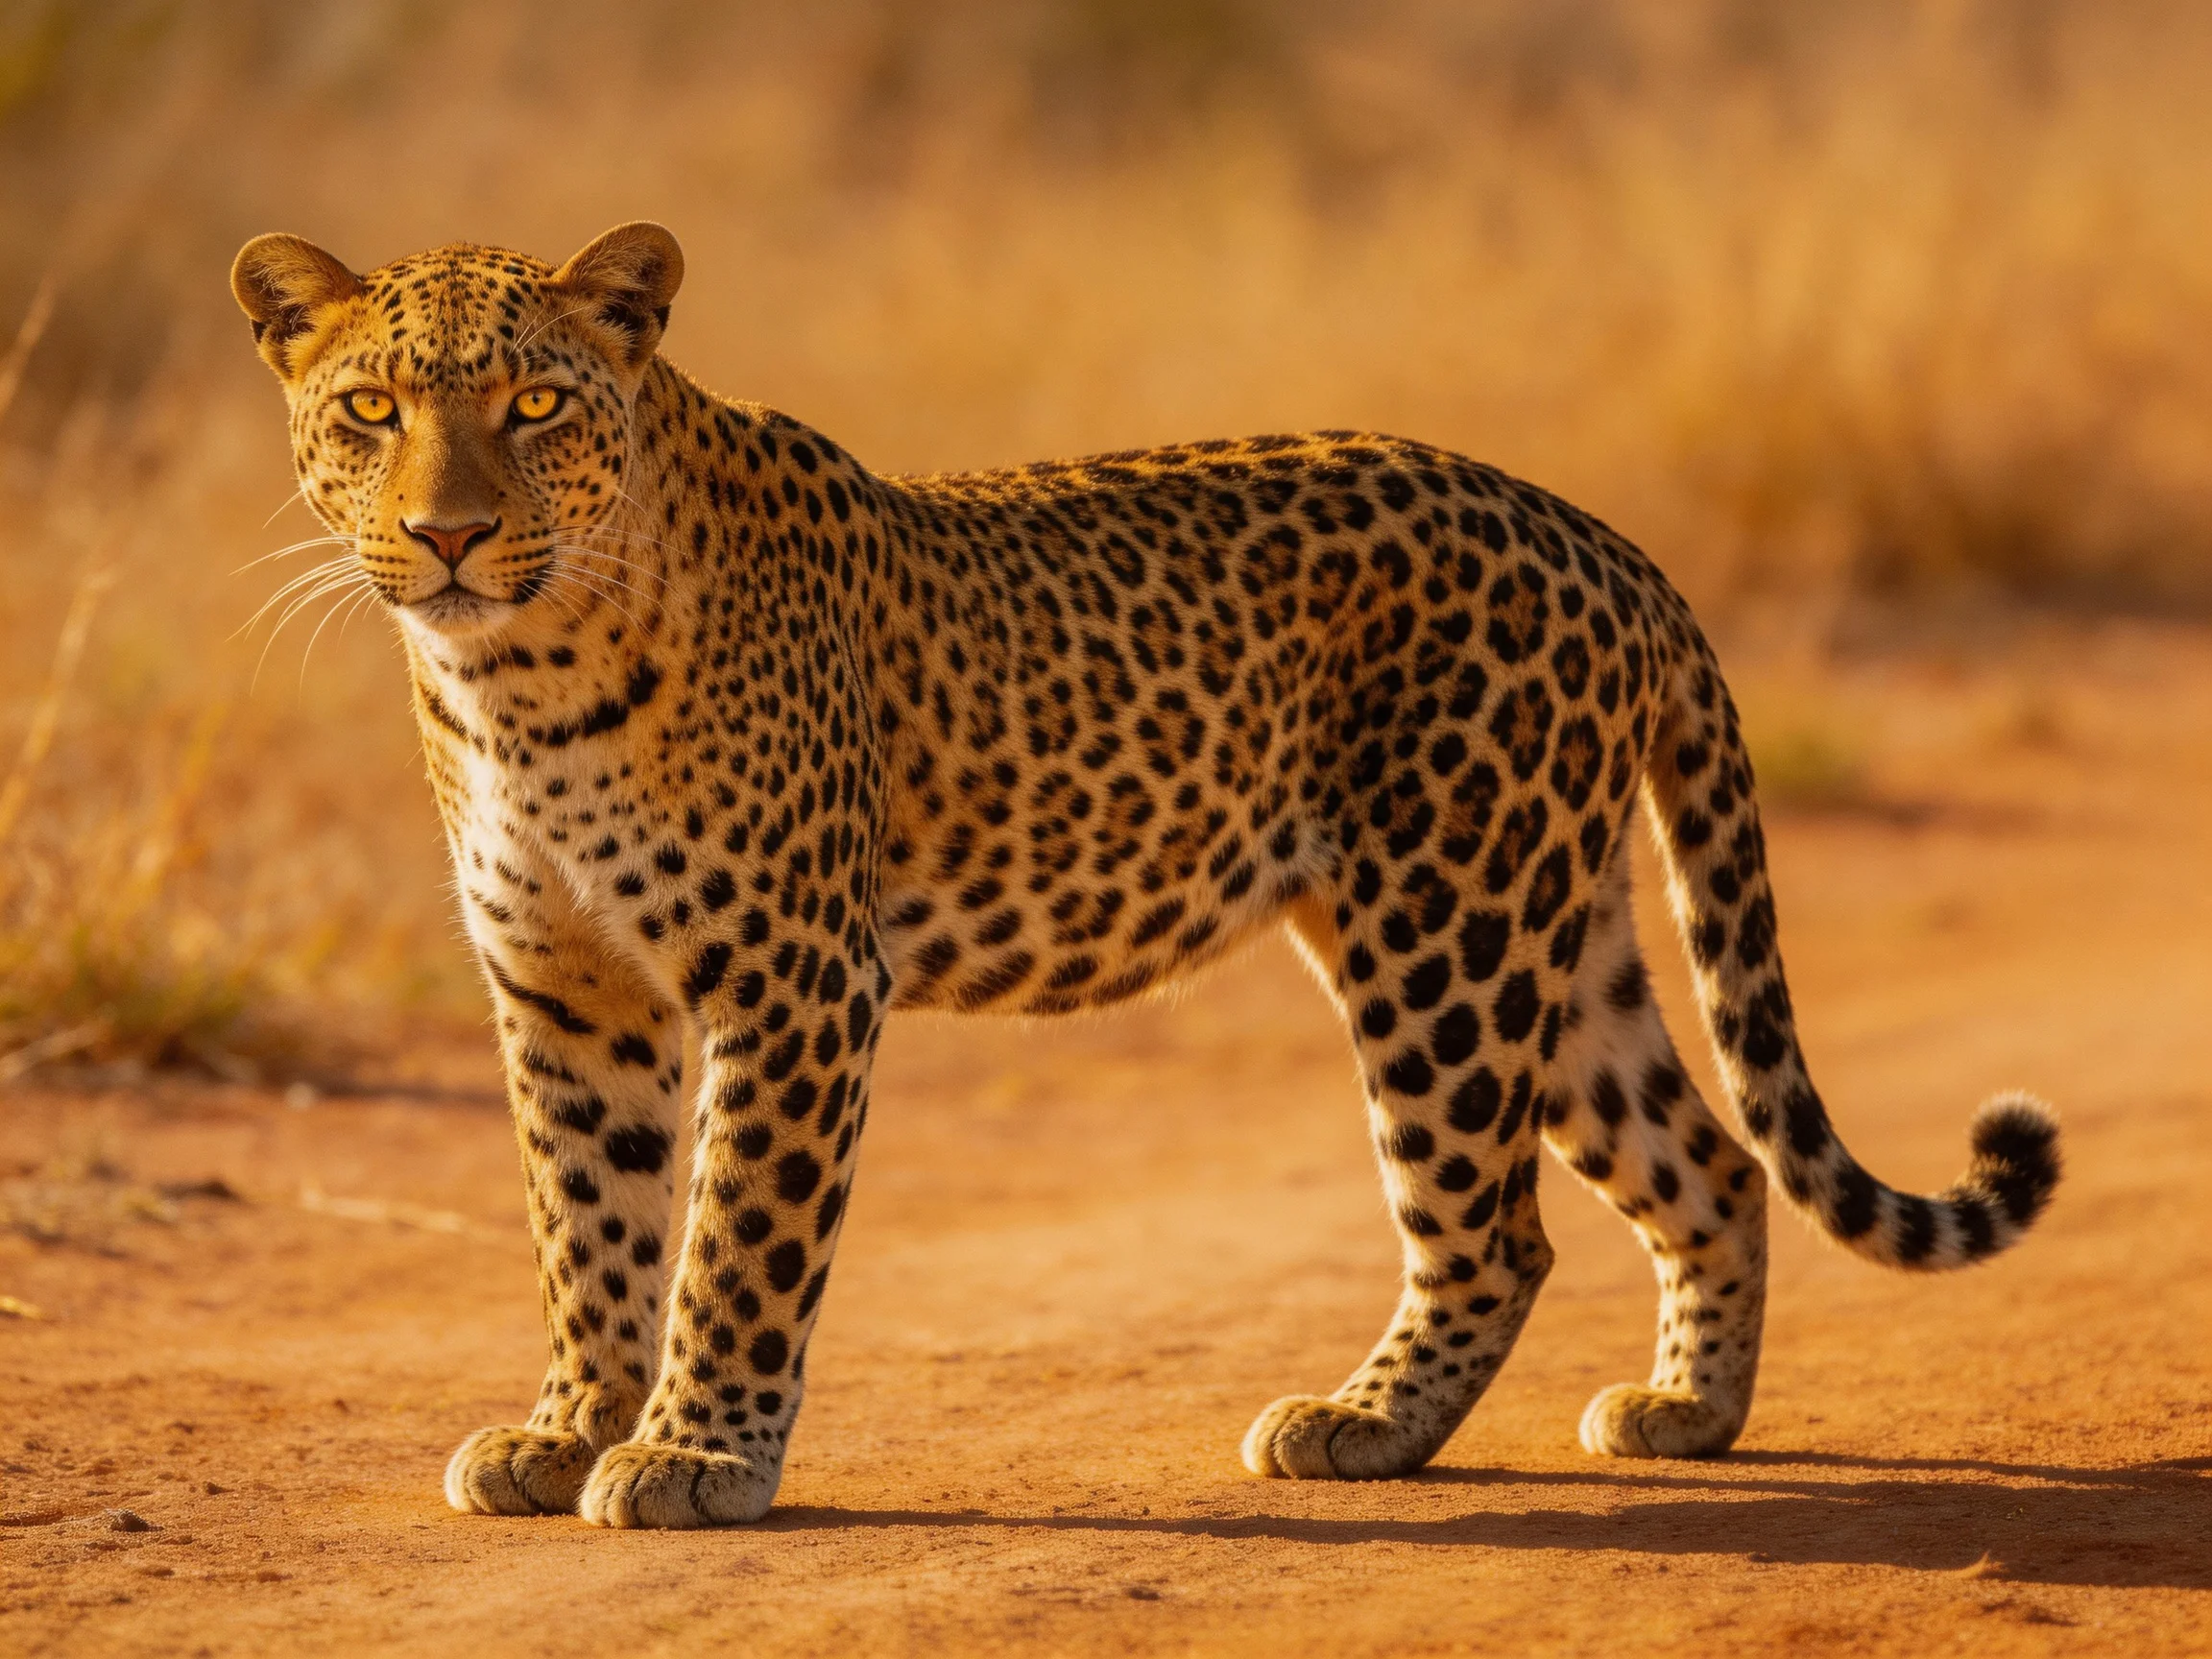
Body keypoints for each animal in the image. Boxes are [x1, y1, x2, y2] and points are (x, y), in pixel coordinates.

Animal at [230, 221, 2061, 1529]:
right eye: (370, 411)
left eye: (536, 405)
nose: (450, 535)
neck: (512, 680)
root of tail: (1602, 538)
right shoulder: (565, 990)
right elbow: (585, 1222)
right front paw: (565, 1430)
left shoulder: (796, 978)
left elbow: (738, 1237)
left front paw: (697, 1456)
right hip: (1552, 930)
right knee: (1710, 1160)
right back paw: (1688, 1414)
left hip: (1445, 932)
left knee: (1494, 1228)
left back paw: (1360, 1424)